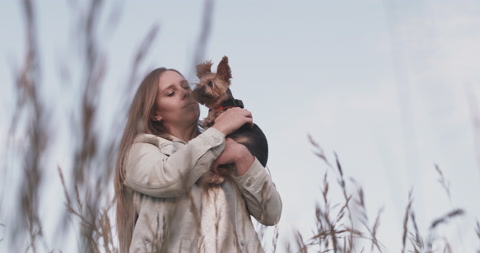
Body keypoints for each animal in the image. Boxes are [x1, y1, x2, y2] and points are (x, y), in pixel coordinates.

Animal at [195, 56, 270, 185]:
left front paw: (209, 118)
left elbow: (216, 114)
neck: (222, 104)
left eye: (210, 83)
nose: (196, 90)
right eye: (199, 83)